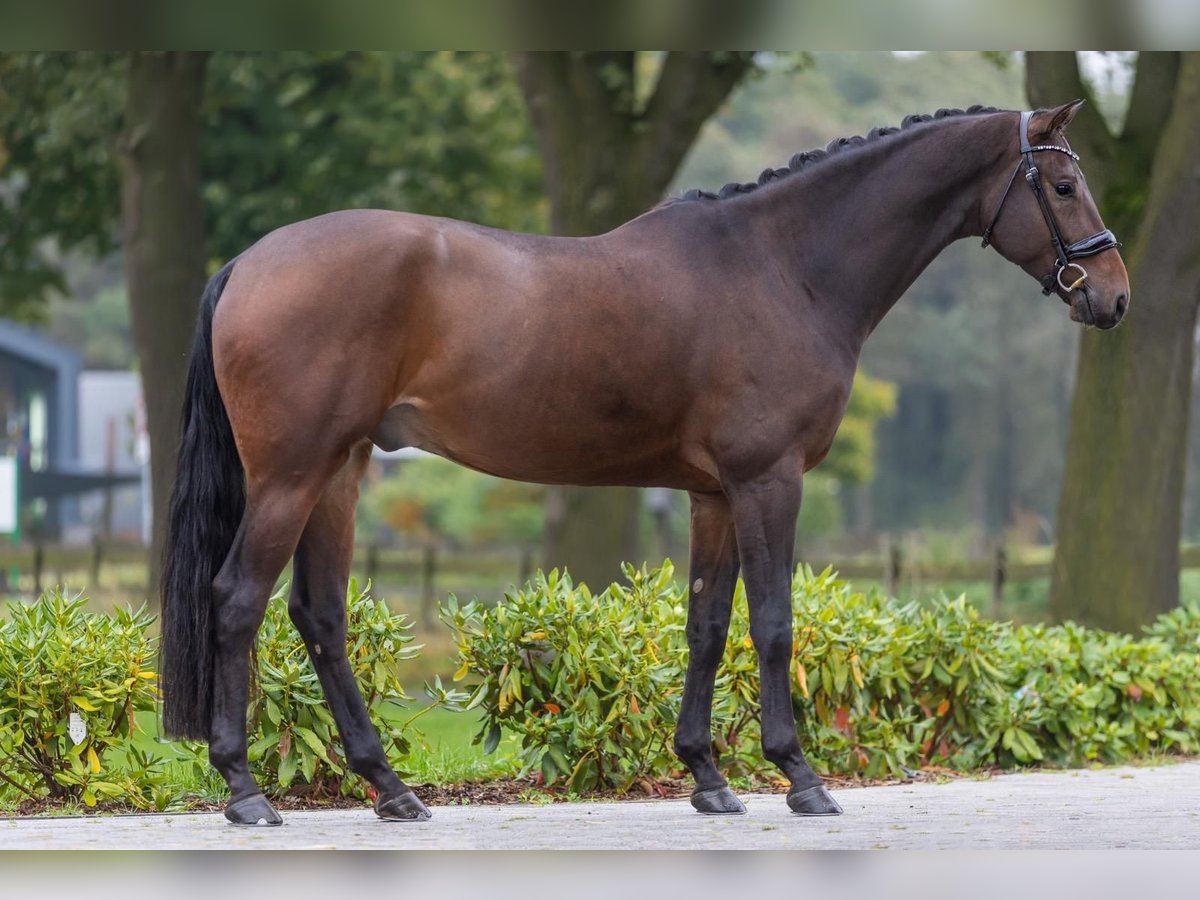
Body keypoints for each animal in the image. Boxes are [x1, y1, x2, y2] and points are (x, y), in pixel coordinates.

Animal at [159, 102, 1123, 830]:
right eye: (1063, 185)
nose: (1111, 296)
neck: (784, 266)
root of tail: (248, 262)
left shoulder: (713, 495)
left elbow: (707, 625)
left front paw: (708, 777)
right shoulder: (769, 479)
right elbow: (773, 621)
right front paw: (799, 776)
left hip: (341, 471)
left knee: (319, 616)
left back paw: (391, 790)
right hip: (292, 475)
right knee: (236, 602)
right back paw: (245, 792)